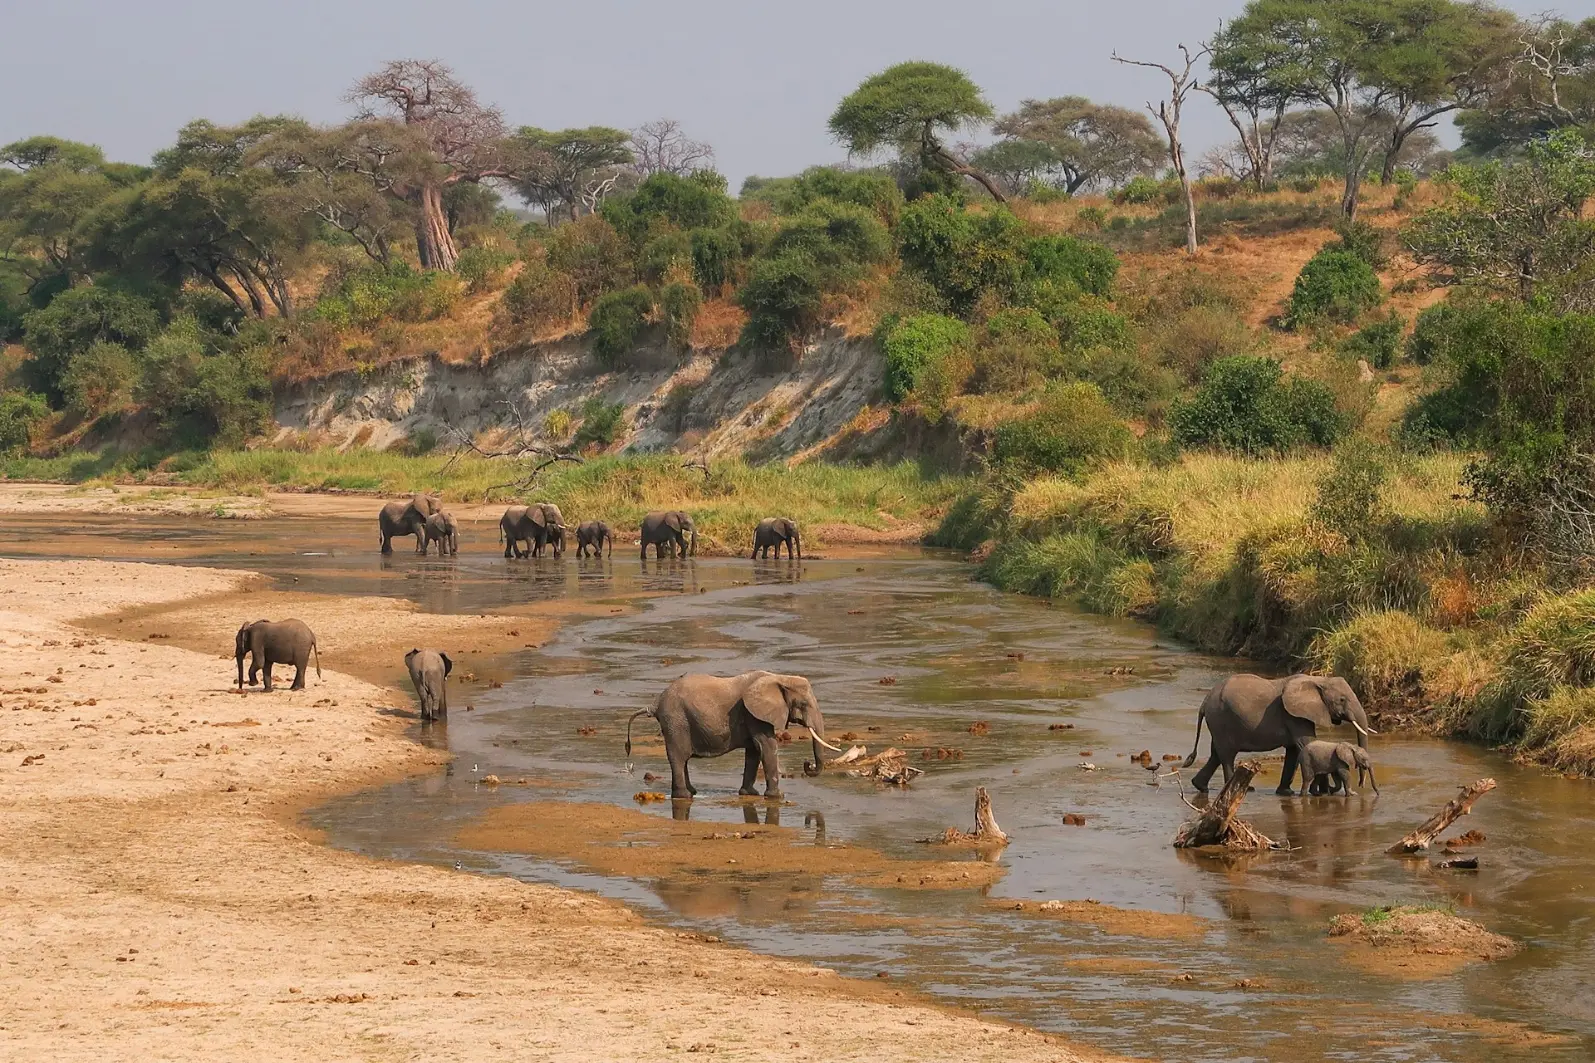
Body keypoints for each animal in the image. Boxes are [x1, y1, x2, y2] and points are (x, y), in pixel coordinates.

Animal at [624, 670, 842, 800]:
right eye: (803, 704)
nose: (807, 763)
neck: (778, 677)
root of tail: (655, 703)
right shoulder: (754, 714)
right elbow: (766, 746)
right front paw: (777, 797)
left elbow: (754, 750)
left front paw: (750, 794)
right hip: (676, 720)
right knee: (678, 757)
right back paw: (684, 796)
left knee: (682, 759)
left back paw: (692, 792)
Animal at [1182, 673, 1376, 795]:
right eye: (1342, 700)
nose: (1362, 784)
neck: (1318, 679)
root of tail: (1205, 701)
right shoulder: (1293, 716)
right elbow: (1306, 743)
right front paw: (1324, 792)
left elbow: (1294, 750)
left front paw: (1287, 793)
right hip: (1221, 719)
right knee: (1227, 755)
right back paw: (1240, 789)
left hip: (1218, 722)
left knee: (1216, 753)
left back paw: (1201, 787)